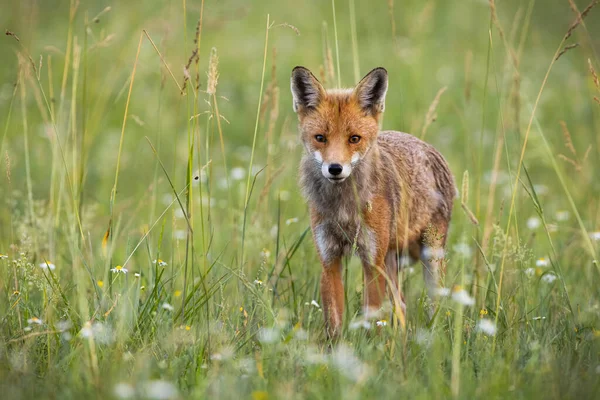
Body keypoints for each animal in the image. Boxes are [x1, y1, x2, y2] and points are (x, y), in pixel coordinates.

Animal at [290, 66, 454, 338]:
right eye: (320, 138)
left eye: (354, 139)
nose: (335, 168)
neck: (344, 210)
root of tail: (424, 145)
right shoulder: (329, 259)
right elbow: (334, 325)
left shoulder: (371, 261)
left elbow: (372, 319)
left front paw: (370, 348)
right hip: (390, 261)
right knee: (401, 307)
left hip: (429, 258)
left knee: (434, 307)